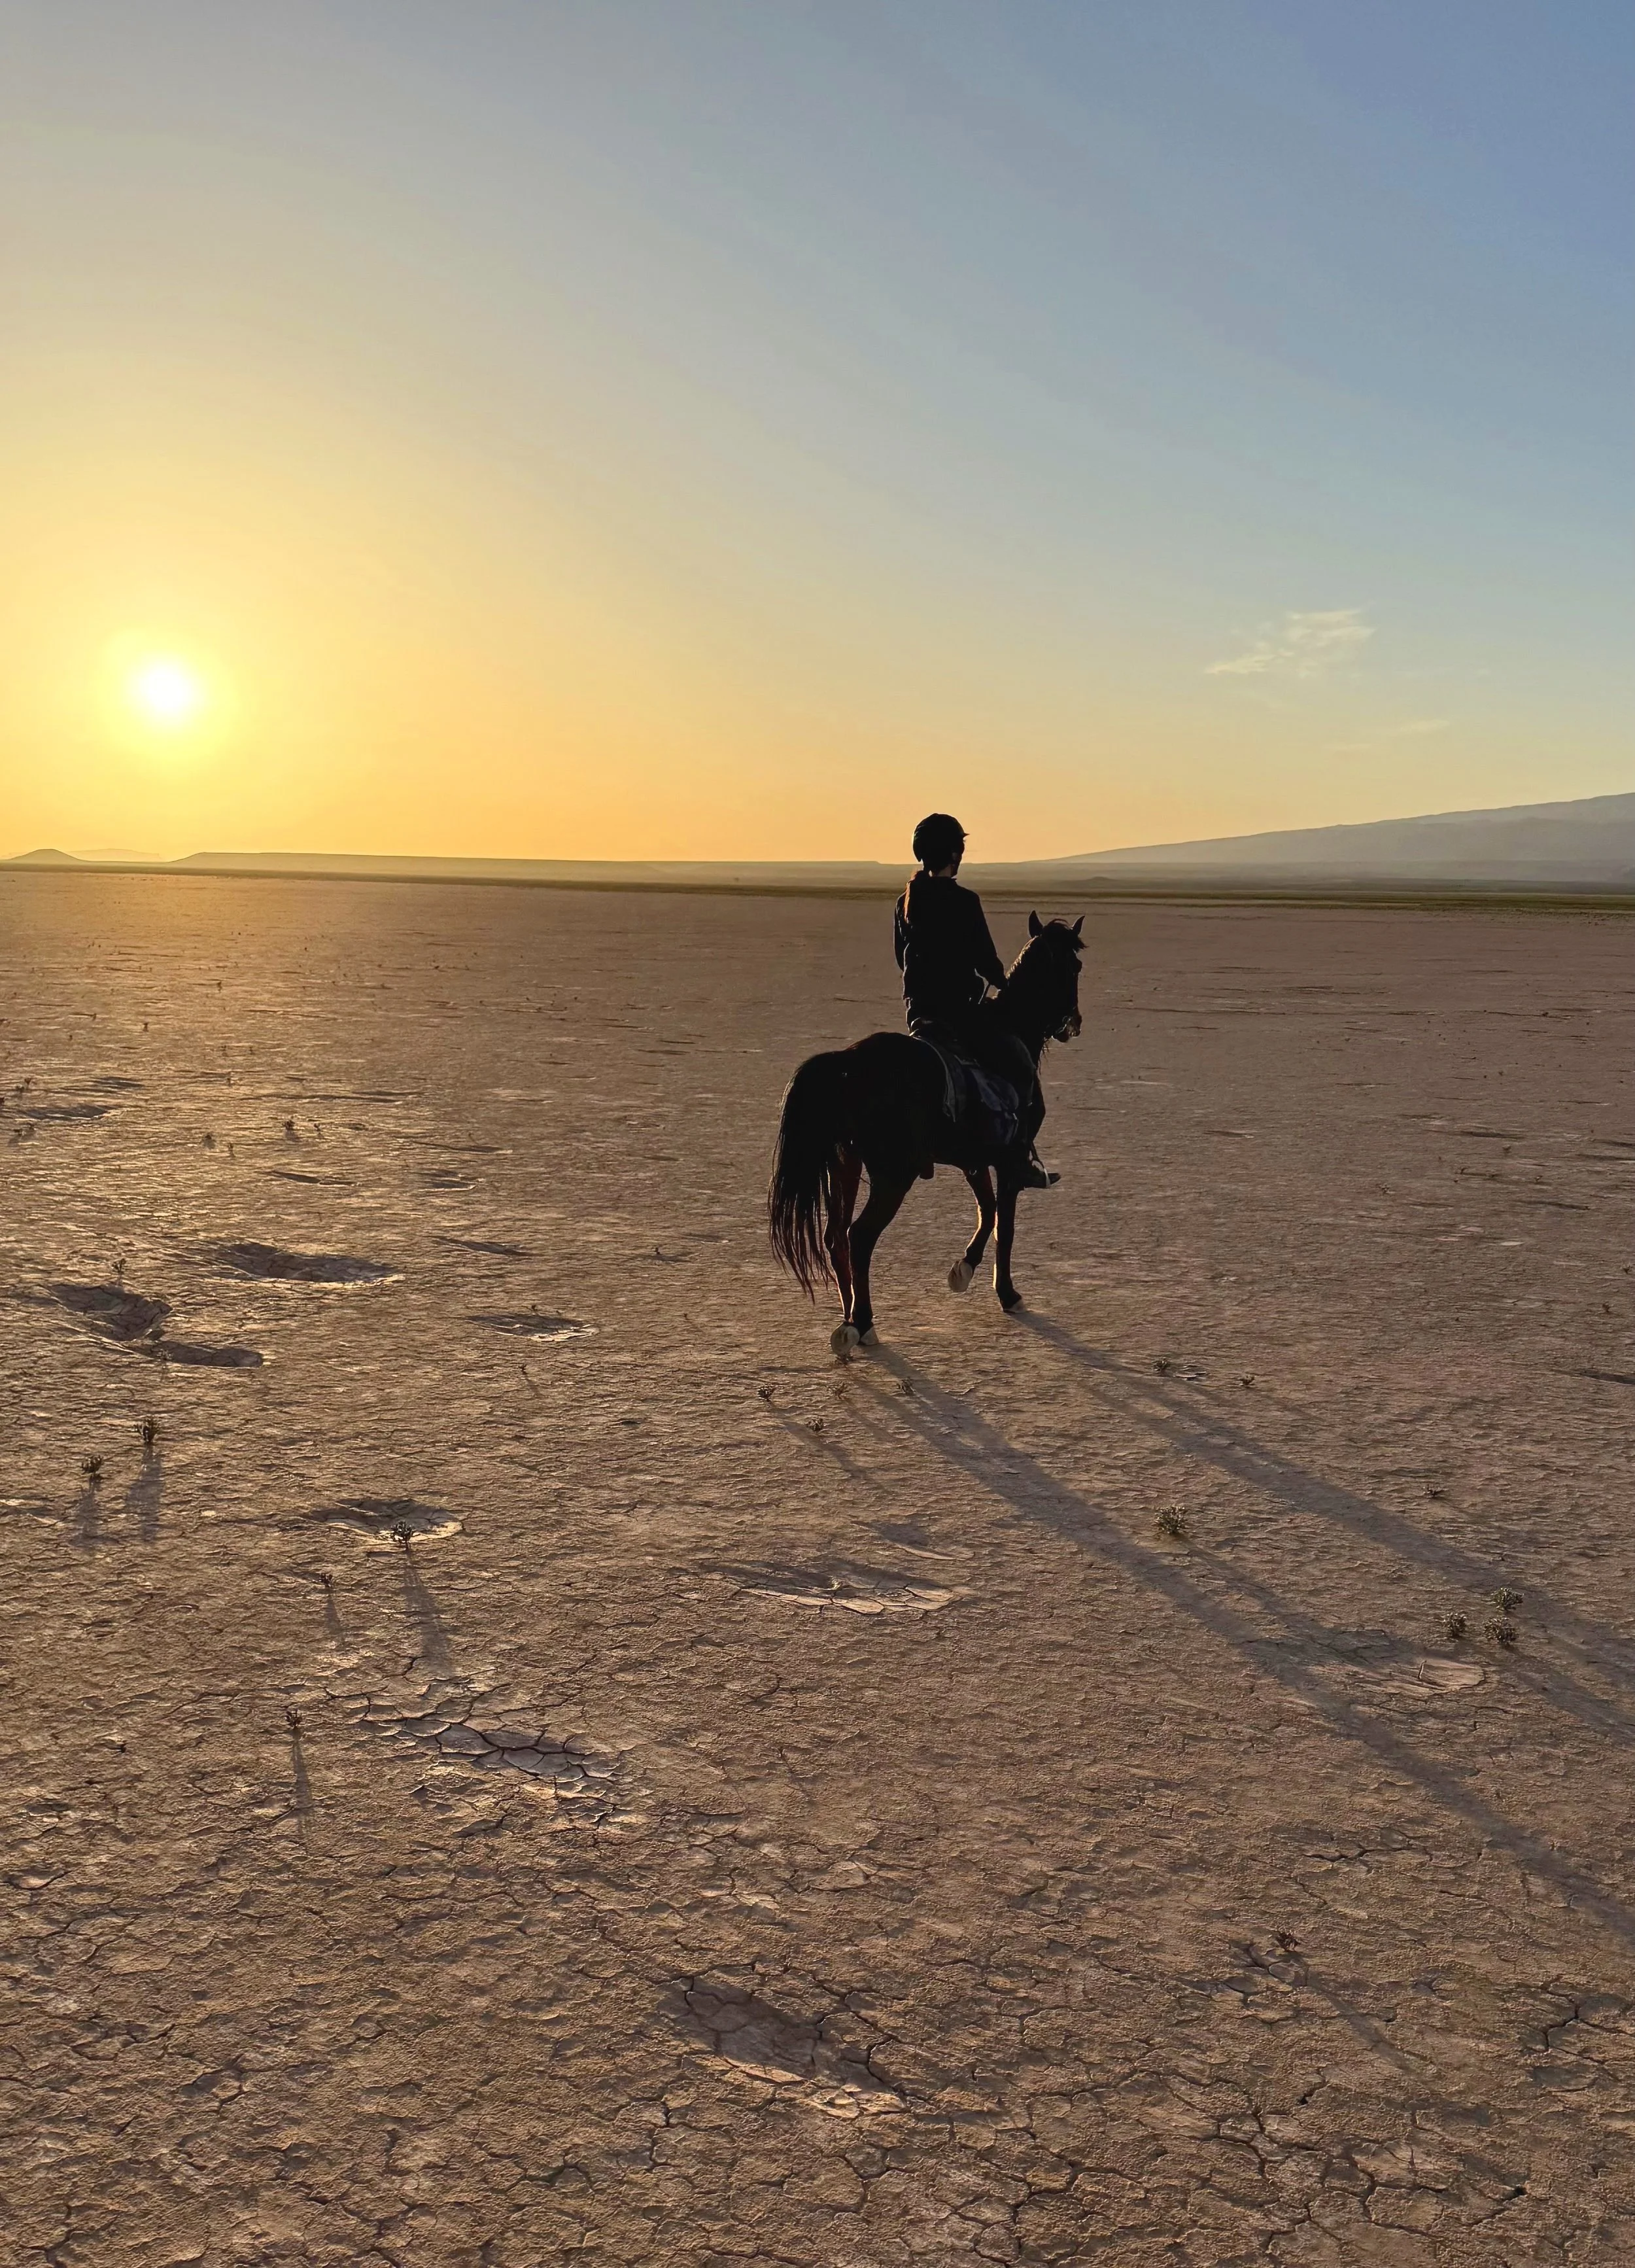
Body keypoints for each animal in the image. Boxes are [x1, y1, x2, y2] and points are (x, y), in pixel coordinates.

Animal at [768, 913, 1084, 1353]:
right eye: (1075, 967)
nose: (1075, 1022)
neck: (1012, 1028)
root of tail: (848, 1063)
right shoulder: (1008, 1161)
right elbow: (1005, 1227)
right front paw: (1008, 1294)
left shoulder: (974, 1160)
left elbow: (987, 1212)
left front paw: (964, 1269)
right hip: (892, 1175)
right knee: (858, 1237)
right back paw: (863, 1323)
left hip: (844, 1164)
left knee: (836, 1238)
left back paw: (848, 1318)